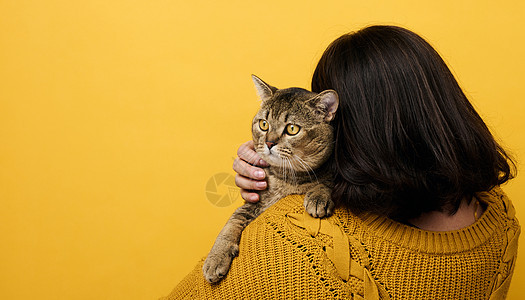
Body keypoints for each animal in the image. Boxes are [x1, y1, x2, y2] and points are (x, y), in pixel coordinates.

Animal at [201, 75, 336, 284]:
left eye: (292, 129)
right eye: (263, 124)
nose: (269, 142)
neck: (285, 179)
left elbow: (327, 181)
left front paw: (318, 196)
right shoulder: (255, 200)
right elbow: (231, 222)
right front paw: (215, 258)